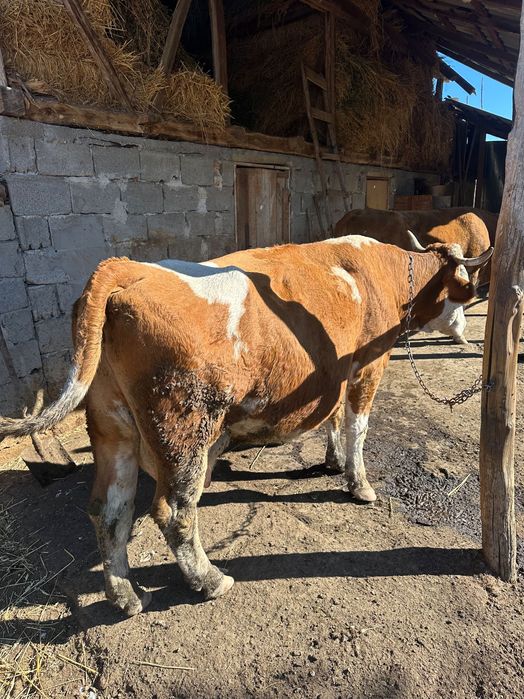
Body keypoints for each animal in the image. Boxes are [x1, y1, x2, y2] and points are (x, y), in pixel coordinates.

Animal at [0, 235, 492, 616]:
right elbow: (357, 427)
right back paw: (210, 580)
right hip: (184, 424)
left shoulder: (333, 372)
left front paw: (333, 461)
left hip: (112, 423)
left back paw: (125, 595)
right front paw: (359, 484)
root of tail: (127, 267)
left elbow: (333, 418)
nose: (467, 332)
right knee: (174, 511)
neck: (381, 273)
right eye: (465, 290)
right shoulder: (369, 366)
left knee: (110, 509)